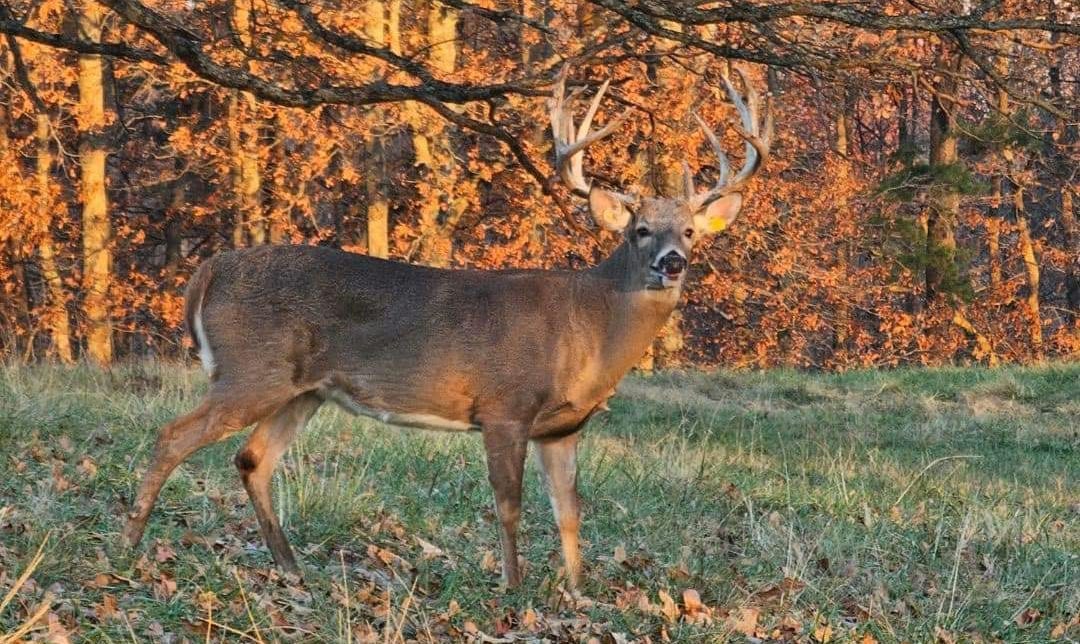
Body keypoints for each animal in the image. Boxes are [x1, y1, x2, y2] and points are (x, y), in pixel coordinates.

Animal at [121, 66, 772, 589]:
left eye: (689, 230)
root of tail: (208, 271)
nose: (672, 262)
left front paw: (577, 591)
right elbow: (510, 506)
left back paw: (290, 565)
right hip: (252, 369)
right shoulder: (506, 407)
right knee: (173, 435)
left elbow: (569, 511)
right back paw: (130, 545)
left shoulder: (562, 428)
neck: (588, 328)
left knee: (252, 458)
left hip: (304, 390)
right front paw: (513, 587)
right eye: (639, 231)